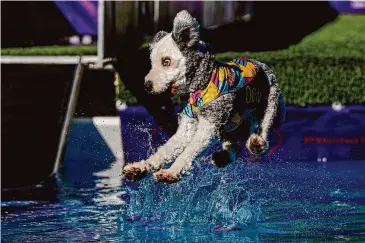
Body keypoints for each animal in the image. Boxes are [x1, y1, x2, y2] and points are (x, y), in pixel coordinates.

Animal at [123, 9, 286, 184]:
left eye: (166, 61)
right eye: (152, 63)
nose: (147, 85)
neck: (200, 86)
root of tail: (264, 66)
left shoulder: (208, 126)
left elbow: (188, 151)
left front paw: (171, 172)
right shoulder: (188, 125)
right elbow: (165, 150)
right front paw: (140, 168)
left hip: (271, 104)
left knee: (264, 131)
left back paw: (257, 143)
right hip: (229, 126)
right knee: (234, 145)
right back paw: (223, 157)